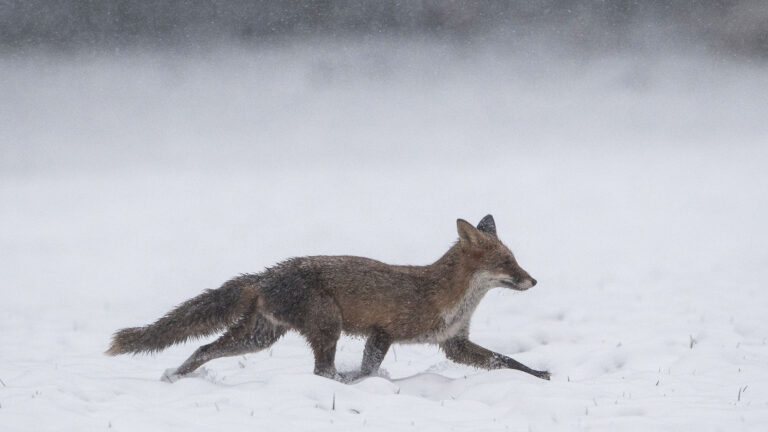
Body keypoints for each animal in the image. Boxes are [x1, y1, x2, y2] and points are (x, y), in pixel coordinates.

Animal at [106, 214, 550, 382]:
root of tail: (267, 274)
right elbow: (369, 369)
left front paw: (540, 376)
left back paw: (176, 376)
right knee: (322, 371)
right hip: (327, 326)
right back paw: (340, 382)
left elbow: (506, 361)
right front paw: (364, 383)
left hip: (259, 337)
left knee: (203, 348)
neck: (447, 297)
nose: (533, 280)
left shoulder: (454, 344)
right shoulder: (382, 332)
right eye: (507, 261)